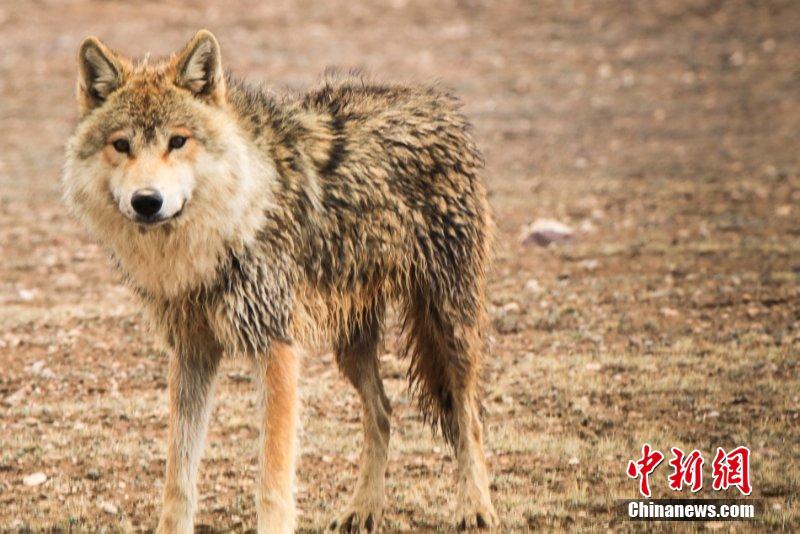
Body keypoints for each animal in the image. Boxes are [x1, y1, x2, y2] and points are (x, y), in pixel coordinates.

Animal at [62, 30, 496, 534]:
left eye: (178, 141)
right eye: (121, 145)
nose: (147, 201)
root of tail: (433, 99)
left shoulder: (275, 346)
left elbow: (272, 474)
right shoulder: (192, 351)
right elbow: (178, 474)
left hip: (449, 329)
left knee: (468, 417)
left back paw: (475, 506)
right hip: (350, 346)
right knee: (384, 414)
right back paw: (364, 508)